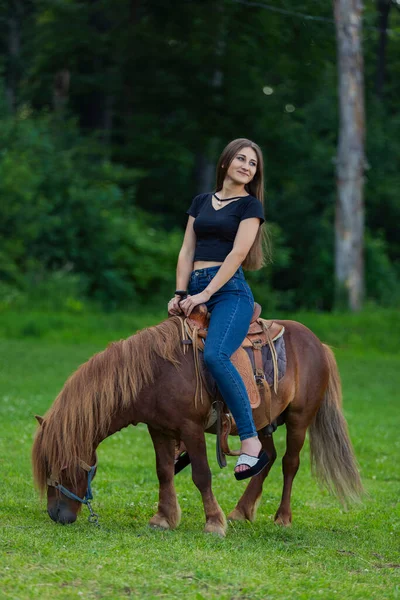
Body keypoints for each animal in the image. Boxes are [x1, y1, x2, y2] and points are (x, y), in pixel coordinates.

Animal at [31, 314, 362, 536]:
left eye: (59, 465)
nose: (55, 514)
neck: (156, 373)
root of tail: (318, 343)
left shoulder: (191, 429)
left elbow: (202, 475)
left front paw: (214, 522)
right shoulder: (159, 429)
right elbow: (164, 471)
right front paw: (163, 518)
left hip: (298, 420)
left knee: (289, 464)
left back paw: (282, 517)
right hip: (261, 423)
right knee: (266, 458)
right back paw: (241, 511)